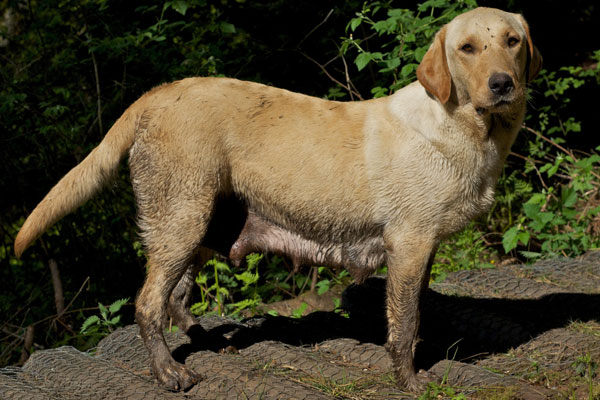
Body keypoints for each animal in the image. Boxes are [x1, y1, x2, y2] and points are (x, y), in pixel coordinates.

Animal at [15, 6, 540, 392]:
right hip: (180, 221)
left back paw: (208, 343)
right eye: (467, 48)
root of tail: (156, 93)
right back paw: (169, 373)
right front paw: (408, 380)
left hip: (204, 228)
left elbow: (415, 316)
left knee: (177, 298)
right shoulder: (409, 244)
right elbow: (405, 324)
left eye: (512, 41)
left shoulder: (422, 251)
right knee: (148, 304)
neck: (465, 129)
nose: (502, 85)